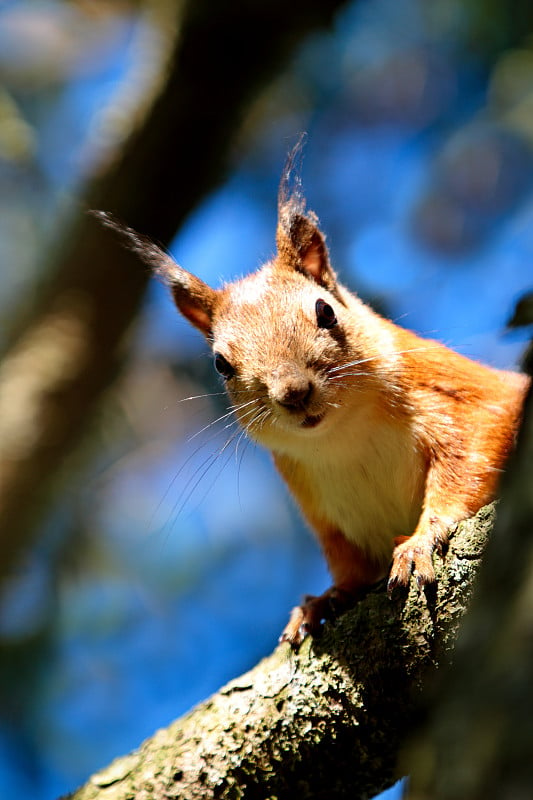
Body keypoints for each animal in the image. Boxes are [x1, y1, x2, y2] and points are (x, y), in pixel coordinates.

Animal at [95, 145, 528, 648]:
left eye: (325, 312)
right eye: (221, 363)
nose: (294, 393)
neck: (344, 435)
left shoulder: (458, 397)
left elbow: (468, 466)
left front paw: (421, 540)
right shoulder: (324, 511)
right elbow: (351, 568)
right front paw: (322, 601)